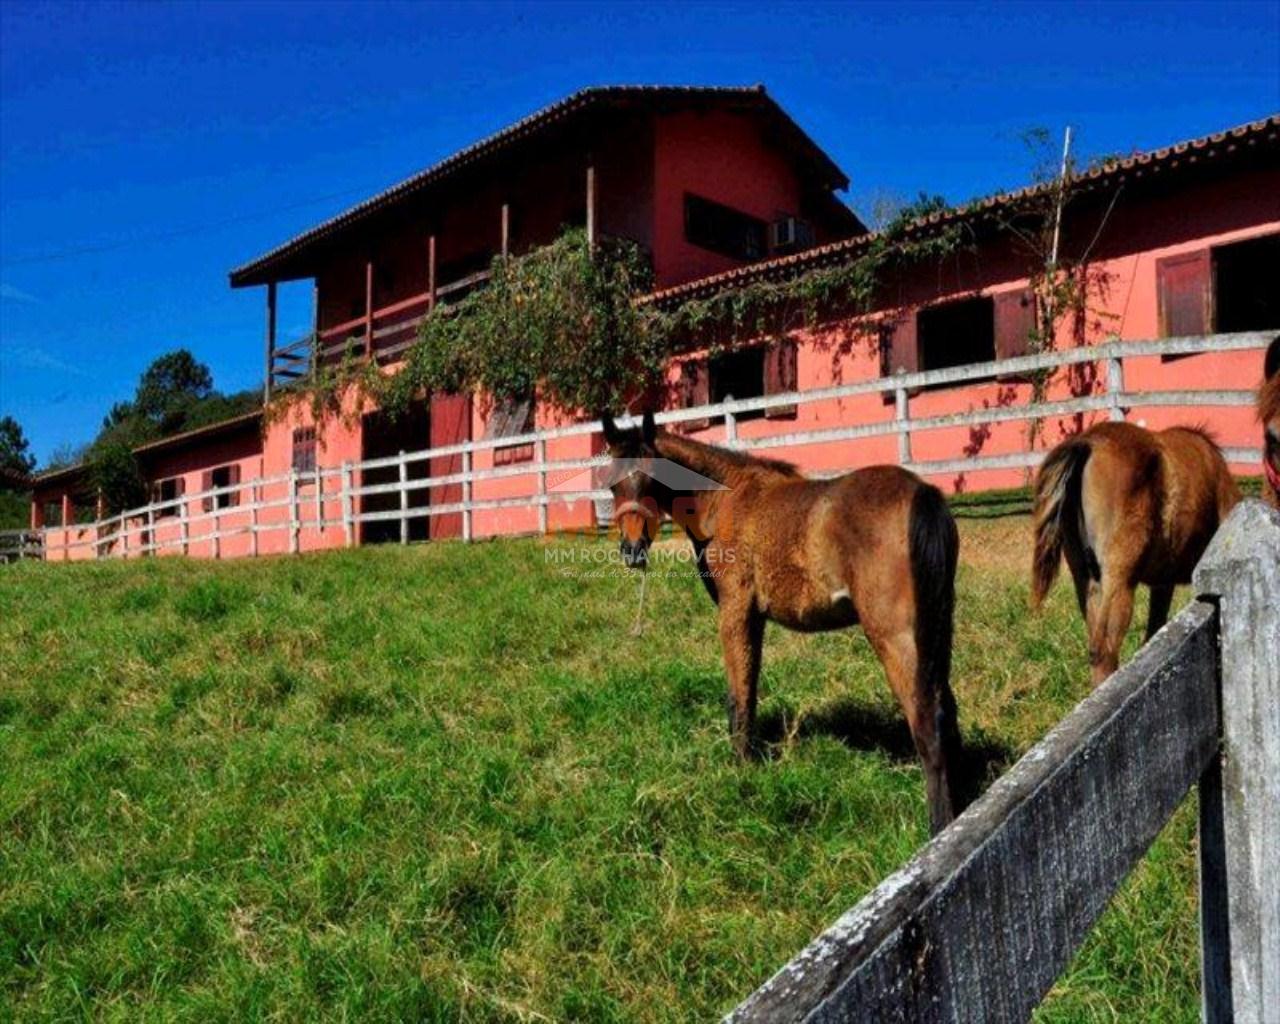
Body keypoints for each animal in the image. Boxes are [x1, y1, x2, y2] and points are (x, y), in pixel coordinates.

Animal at [604, 412, 962, 834]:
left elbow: (738, 692)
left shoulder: (735, 610)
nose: (632, 551)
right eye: (612, 483)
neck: (727, 499)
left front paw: (741, 766)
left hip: (895, 636)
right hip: (936, 630)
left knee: (927, 723)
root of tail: (923, 493)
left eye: (651, 477)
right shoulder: (755, 617)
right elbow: (751, 685)